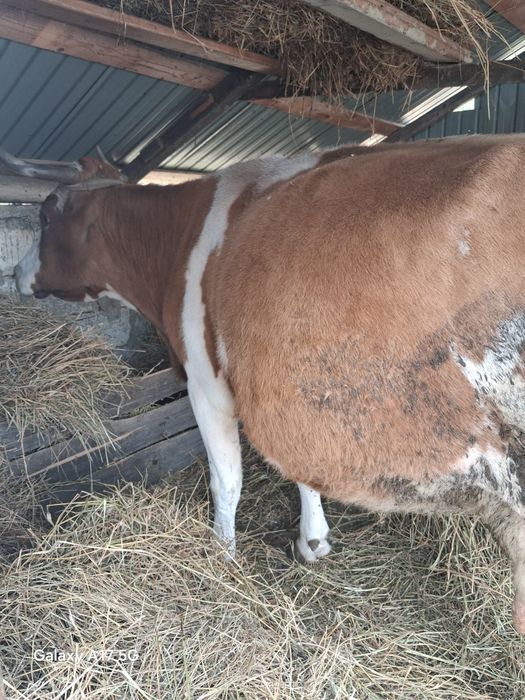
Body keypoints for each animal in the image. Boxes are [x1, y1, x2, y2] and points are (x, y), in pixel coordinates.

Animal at [8, 135, 525, 633]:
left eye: (44, 215)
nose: (14, 273)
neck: (179, 243)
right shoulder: (290, 396)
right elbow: (301, 469)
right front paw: (313, 539)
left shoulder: (206, 381)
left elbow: (227, 480)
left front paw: (220, 557)